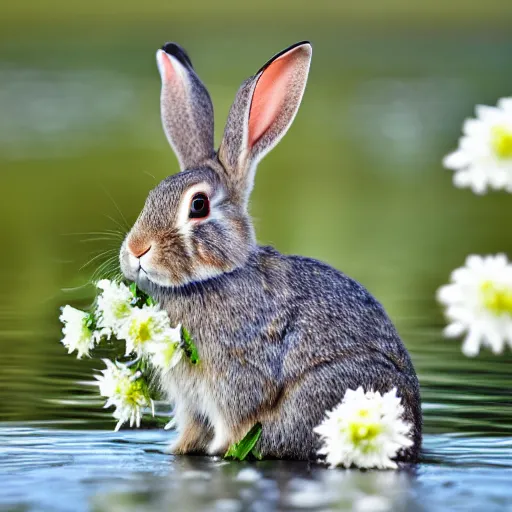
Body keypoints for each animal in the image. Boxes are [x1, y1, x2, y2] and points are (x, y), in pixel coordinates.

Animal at [119, 42, 420, 462]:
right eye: (152, 195)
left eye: (198, 206)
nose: (137, 250)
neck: (216, 278)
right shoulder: (192, 403)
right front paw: (179, 450)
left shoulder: (239, 378)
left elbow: (234, 428)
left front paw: (223, 451)